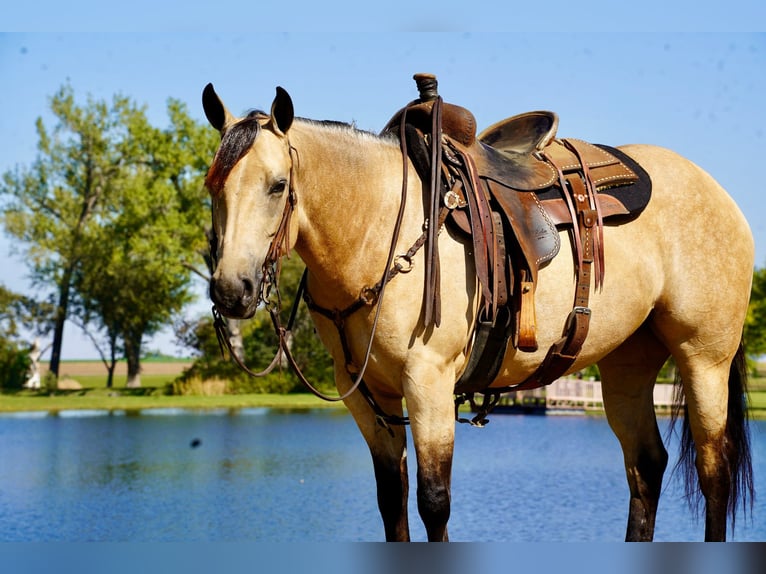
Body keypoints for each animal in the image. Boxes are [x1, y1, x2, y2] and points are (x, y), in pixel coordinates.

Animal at [200, 81, 754, 542]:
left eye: (277, 185)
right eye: (212, 185)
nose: (231, 290)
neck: (375, 231)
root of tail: (718, 193)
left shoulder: (428, 381)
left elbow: (434, 502)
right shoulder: (364, 394)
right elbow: (392, 500)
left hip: (704, 358)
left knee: (713, 472)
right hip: (627, 363)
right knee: (646, 465)